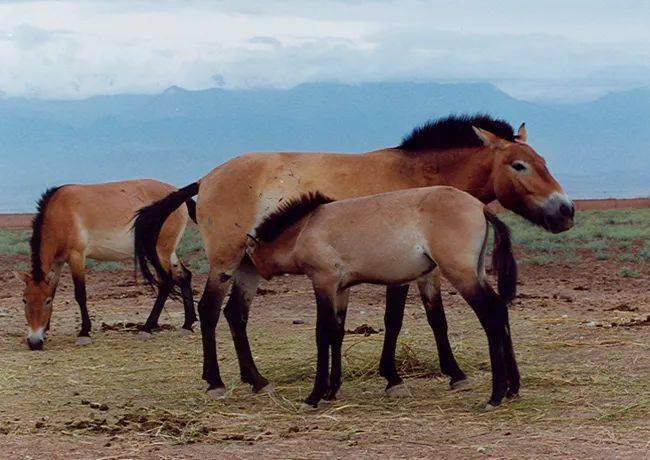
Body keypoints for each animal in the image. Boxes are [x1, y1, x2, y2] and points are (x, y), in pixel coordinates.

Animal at [15, 180, 196, 348]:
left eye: (46, 302)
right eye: (24, 300)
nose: (34, 342)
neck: (60, 212)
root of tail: (177, 192)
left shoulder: (77, 256)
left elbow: (80, 294)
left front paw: (84, 333)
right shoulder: (58, 262)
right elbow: (53, 290)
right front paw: (46, 330)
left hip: (160, 251)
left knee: (166, 283)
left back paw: (146, 328)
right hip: (168, 252)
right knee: (184, 276)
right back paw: (187, 325)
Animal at [243, 188, 516, 410]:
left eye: (246, 259)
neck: (307, 227)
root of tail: (480, 207)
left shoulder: (323, 283)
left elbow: (322, 334)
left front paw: (314, 396)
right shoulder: (340, 290)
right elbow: (337, 333)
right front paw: (331, 391)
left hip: (462, 276)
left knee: (491, 316)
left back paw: (495, 396)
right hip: (476, 274)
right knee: (500, 309)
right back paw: (513, 389)